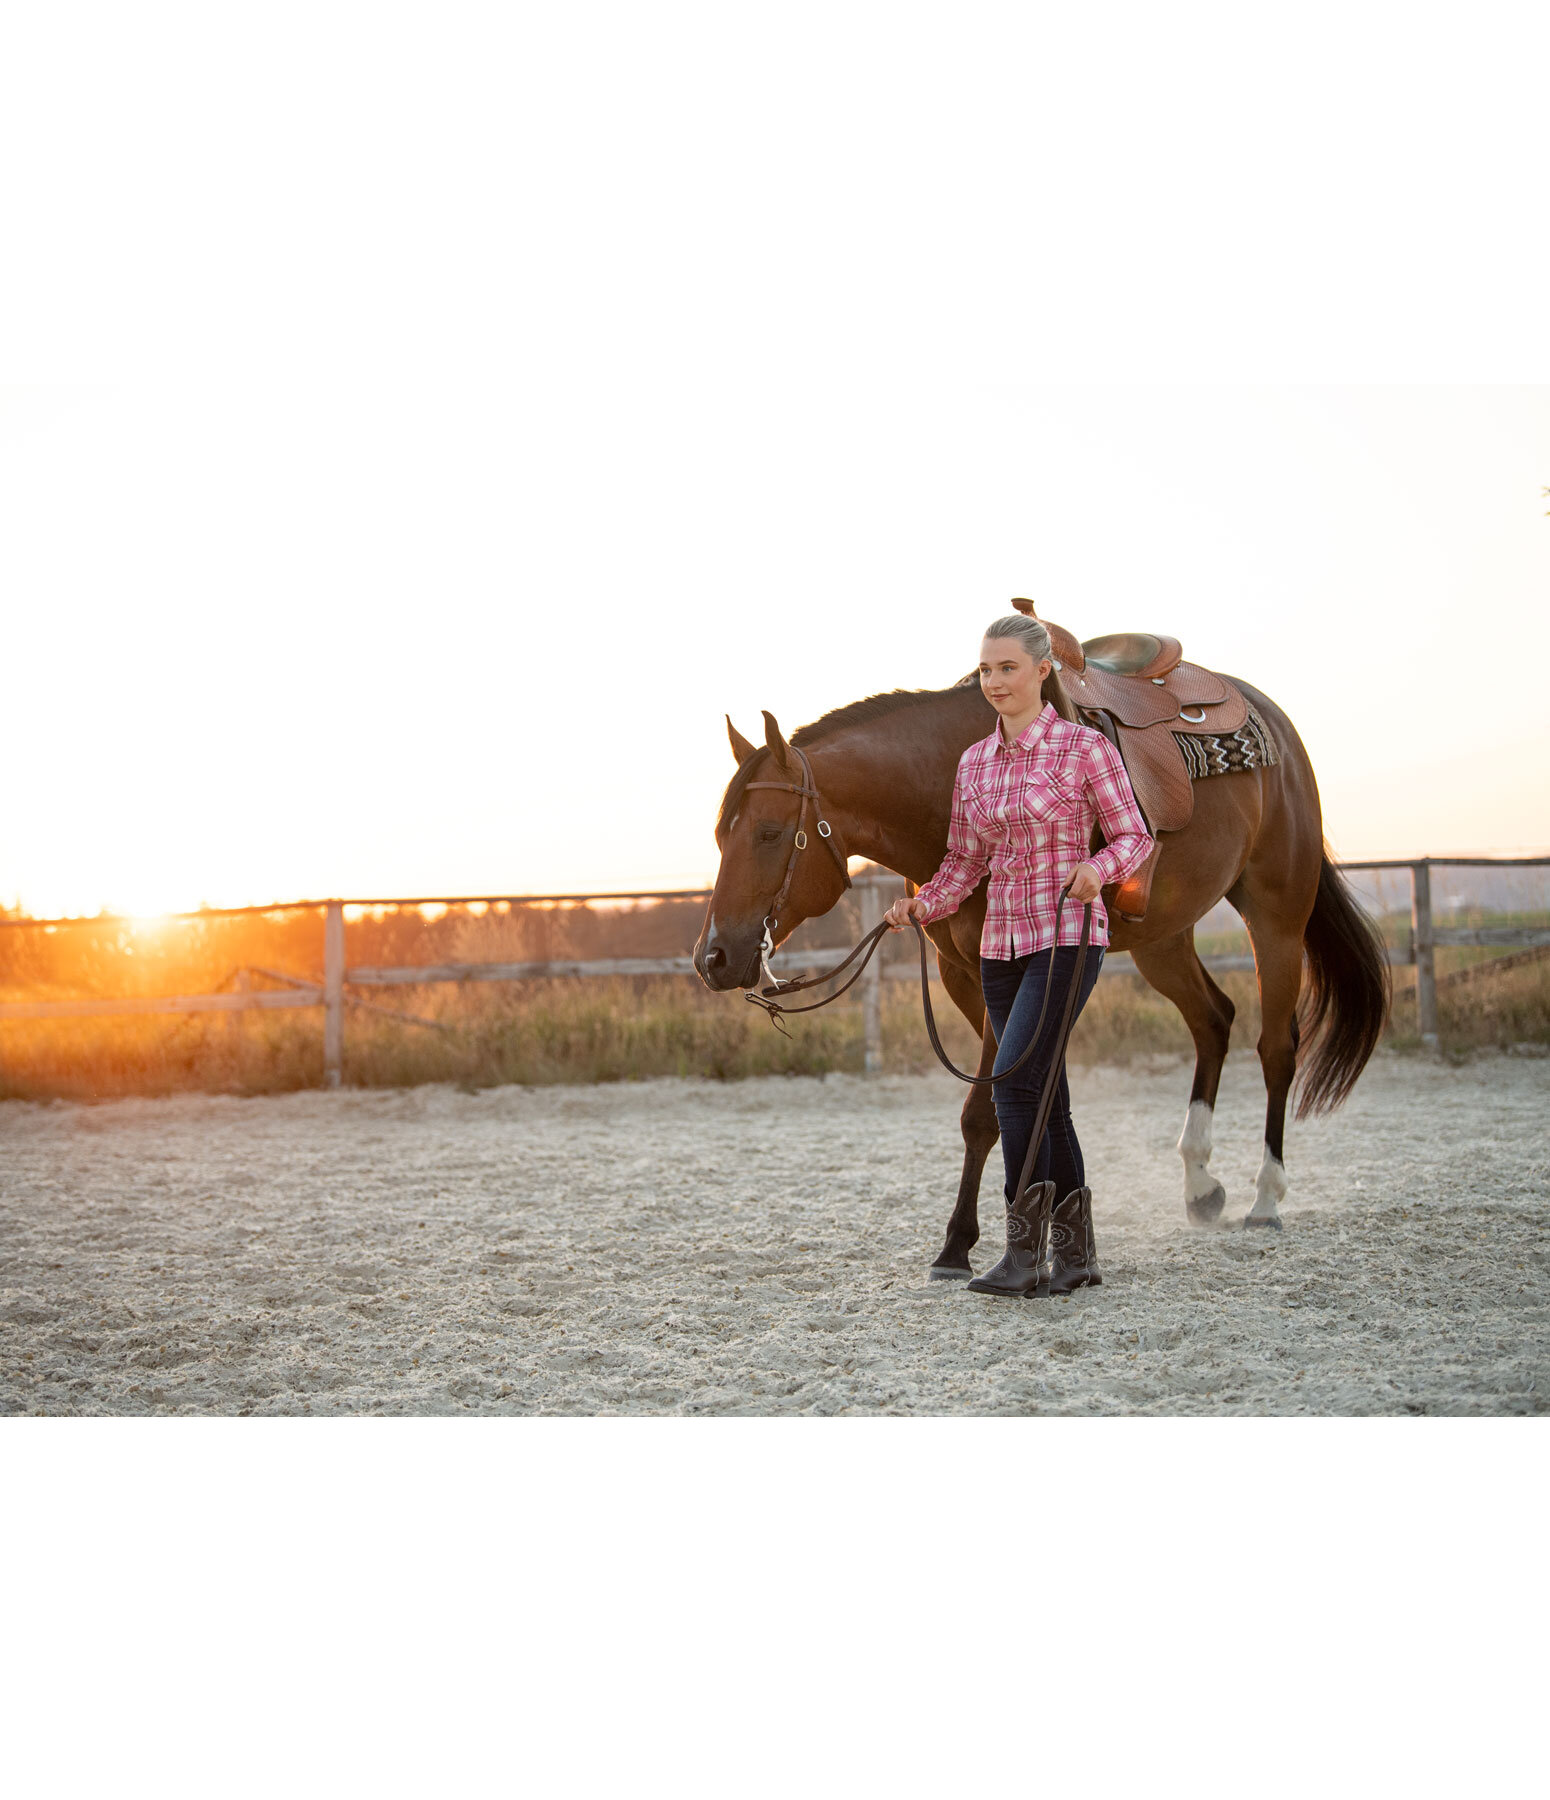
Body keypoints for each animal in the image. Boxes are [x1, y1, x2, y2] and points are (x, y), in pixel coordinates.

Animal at [691, 662, 1389, 1281]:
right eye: (721, 836)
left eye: (770, 832)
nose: (712, 958)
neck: (945, 789)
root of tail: (1278, 727)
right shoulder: (967, 977)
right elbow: (1024, 1093)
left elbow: (986, 1111)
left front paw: (959, 1244)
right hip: (1165, 939)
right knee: (1213, 1020)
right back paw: (1199, 1186)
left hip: (1276, 917)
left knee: (1276, 1047)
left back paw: (1266, 1198)